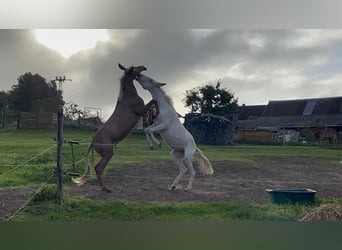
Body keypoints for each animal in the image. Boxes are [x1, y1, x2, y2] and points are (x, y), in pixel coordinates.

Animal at [73, 63, 158, 192]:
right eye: (134, 68)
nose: (144, 67)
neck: (129, 96)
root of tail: (93, 142)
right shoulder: (141, 110)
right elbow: (154, 101)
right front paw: (154, 114)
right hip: (108, 154)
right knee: (98, 168)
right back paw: (105, 188)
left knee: (97, 168)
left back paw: (103, 187)